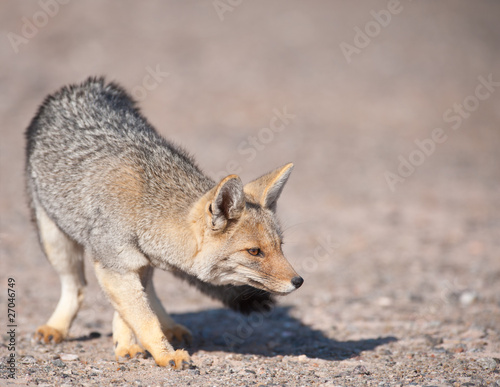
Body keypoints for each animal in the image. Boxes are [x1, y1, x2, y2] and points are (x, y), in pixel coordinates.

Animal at [25, 78, 302, 370]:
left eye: (280, 246)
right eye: (254, 252)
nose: (299, 281)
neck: (146, 207)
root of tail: (86, 84)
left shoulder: (135, 264)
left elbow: (131, 313)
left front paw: (127, 345)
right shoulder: (114, 267)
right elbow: (142, 318)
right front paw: (163, 353)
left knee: (148, 293)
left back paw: (168, 325)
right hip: (55, 242)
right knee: (76, 287)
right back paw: (57, 326)